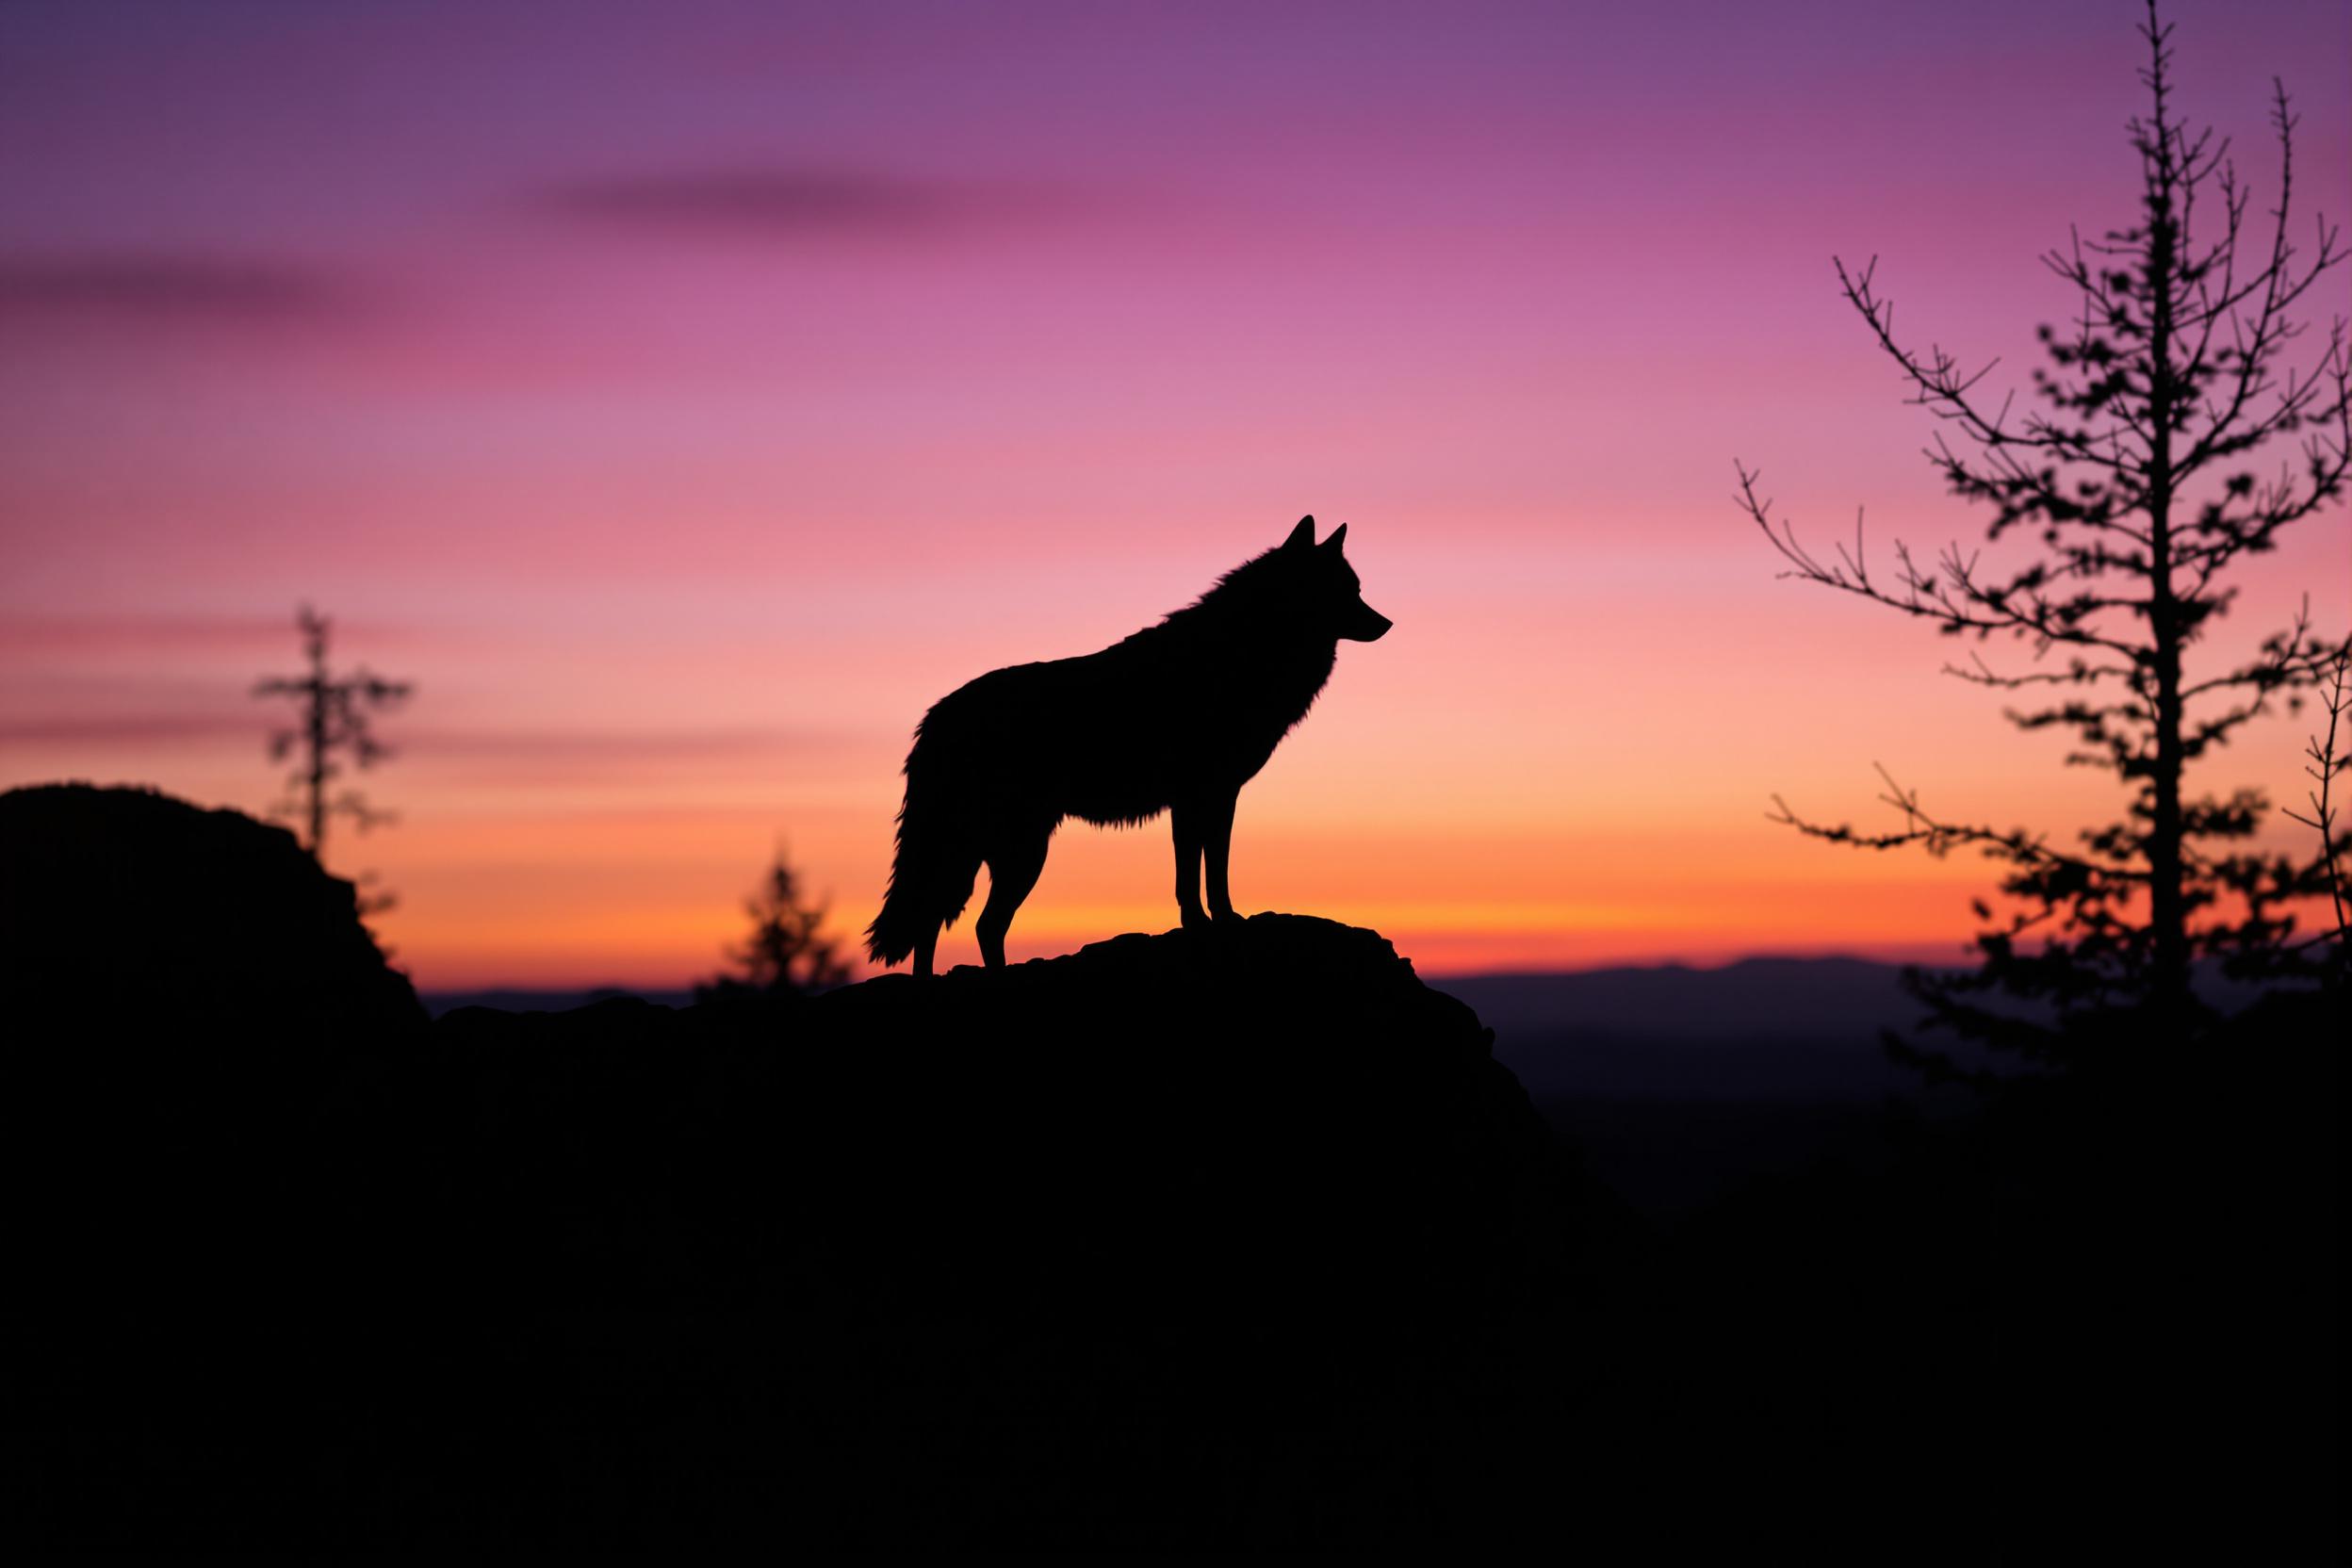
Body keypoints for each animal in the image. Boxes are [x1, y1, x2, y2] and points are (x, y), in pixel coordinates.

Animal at [865, 521, 1382, 972]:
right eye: (1350, 590)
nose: (1388, 623)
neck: (1240, 654)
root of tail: (935, 718)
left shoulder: (1210, 798)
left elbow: (1202, 871)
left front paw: (1214, 922)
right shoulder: (1202, 795)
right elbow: (1202, 872)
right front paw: (1210, 925)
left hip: (981, 852)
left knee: (939, 923)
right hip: (1019, 852)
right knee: (978, 926)